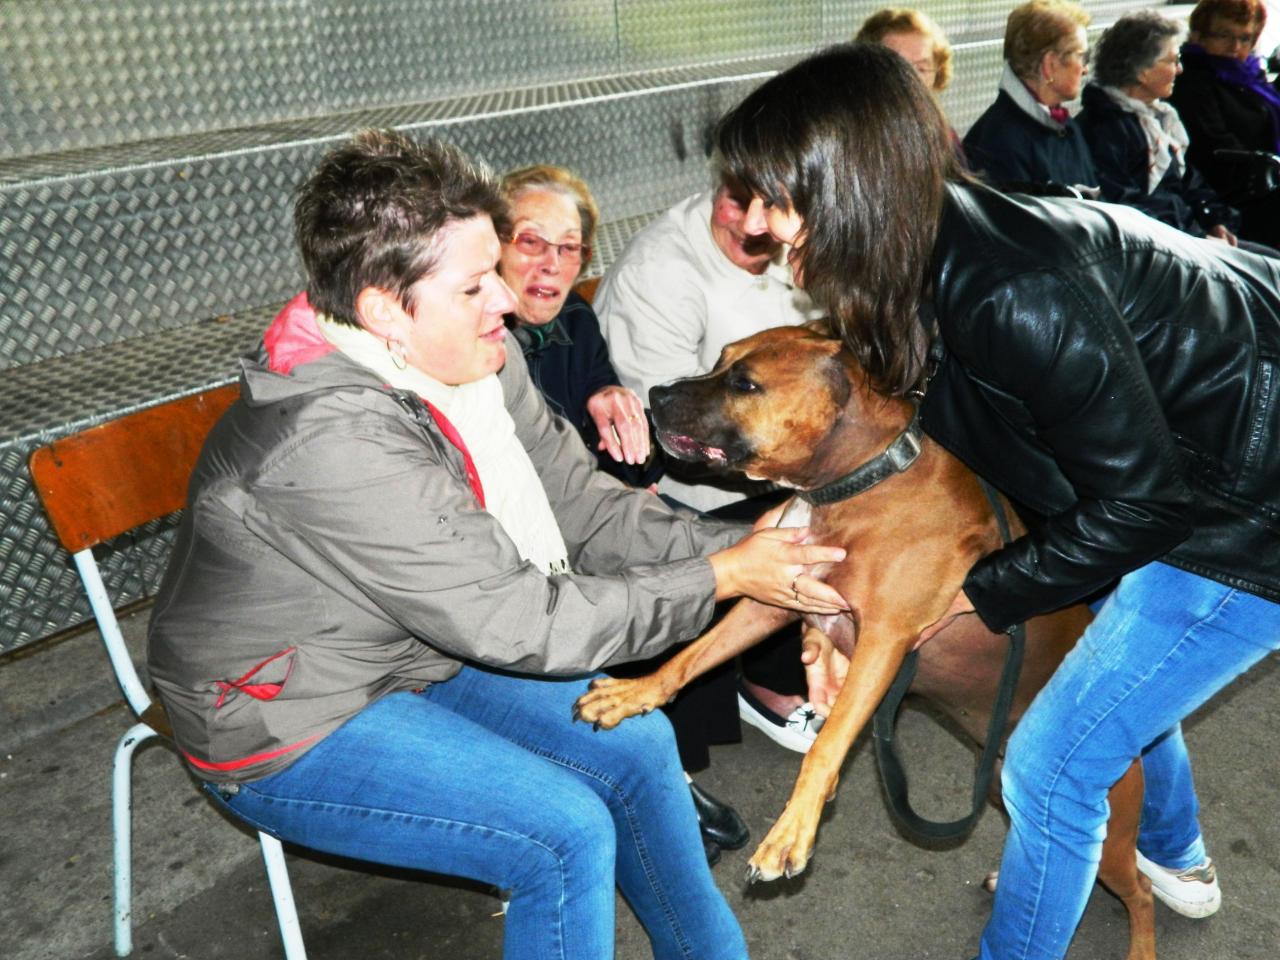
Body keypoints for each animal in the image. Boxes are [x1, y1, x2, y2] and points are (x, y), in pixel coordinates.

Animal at [581, 327, 1162, 957]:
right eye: (719, 361)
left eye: (745, 384)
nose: (654, 395)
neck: (859, 482)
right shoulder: (774, 592)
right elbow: (692, 656)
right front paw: (633, 693)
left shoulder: (883, 641)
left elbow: (827, 744)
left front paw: (791, 833)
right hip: (1001, 785)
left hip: (1104, 826)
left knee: (1138, 893)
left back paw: (1141, 941)